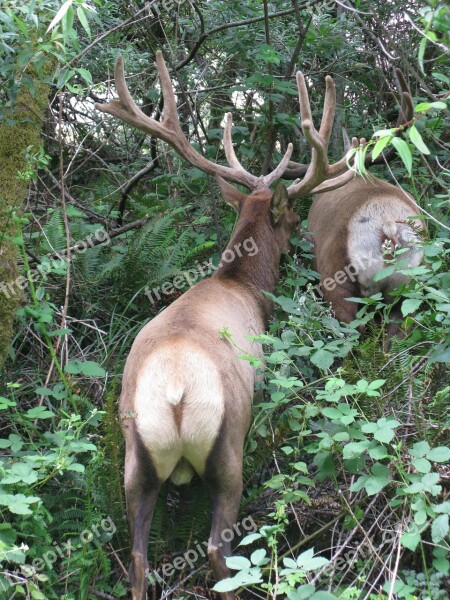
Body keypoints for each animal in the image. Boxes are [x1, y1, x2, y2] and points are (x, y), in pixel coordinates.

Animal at [96, 52, 356, 600]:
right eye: (292, 215)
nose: (302, 237)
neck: (243, 285)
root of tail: (174, 393)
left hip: (134, 460)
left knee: (137, 560)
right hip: (229, 443)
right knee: (220, 551)